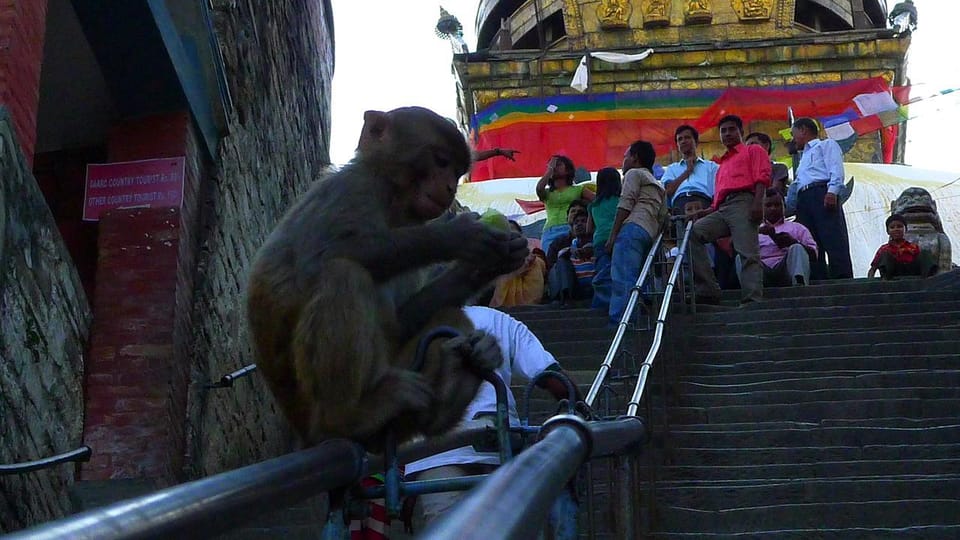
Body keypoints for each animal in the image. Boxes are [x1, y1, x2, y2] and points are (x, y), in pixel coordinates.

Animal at [248, 105, 528, 452]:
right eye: (441, 162)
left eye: (456, 171)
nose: (451, 188)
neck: (394, 203)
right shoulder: (352, 188)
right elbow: (318, 257)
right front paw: (458, 235)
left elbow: (399, 321)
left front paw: (483, 267)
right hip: (311, 408)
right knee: (343, 273)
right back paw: (345, 418)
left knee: (450, 317)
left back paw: (446, 396)